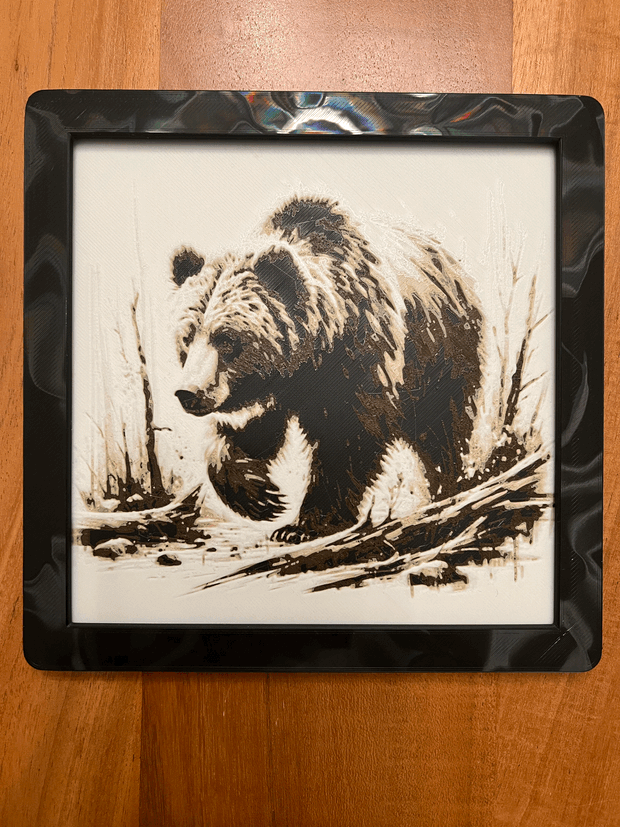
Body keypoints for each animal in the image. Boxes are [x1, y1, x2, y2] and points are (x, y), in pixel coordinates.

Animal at [171, 196, 482, 542]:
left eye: (226, 339)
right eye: (187, 337)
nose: (188, 392)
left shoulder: (359, 360)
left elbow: (348, 437)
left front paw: (302, 523)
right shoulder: (271, 388)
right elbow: (249, 433)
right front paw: (262, 498)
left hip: (440, 352)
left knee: (443, 429)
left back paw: (448, 483)